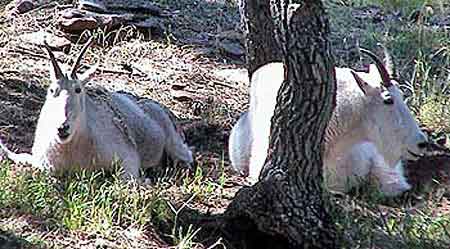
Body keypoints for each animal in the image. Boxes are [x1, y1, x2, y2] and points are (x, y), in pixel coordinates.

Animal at [0, 38, 192, 179]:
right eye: (52, 90)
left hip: (174, 142)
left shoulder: (128, 158)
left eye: (78, 89)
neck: (71, 150)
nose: (63, 127)